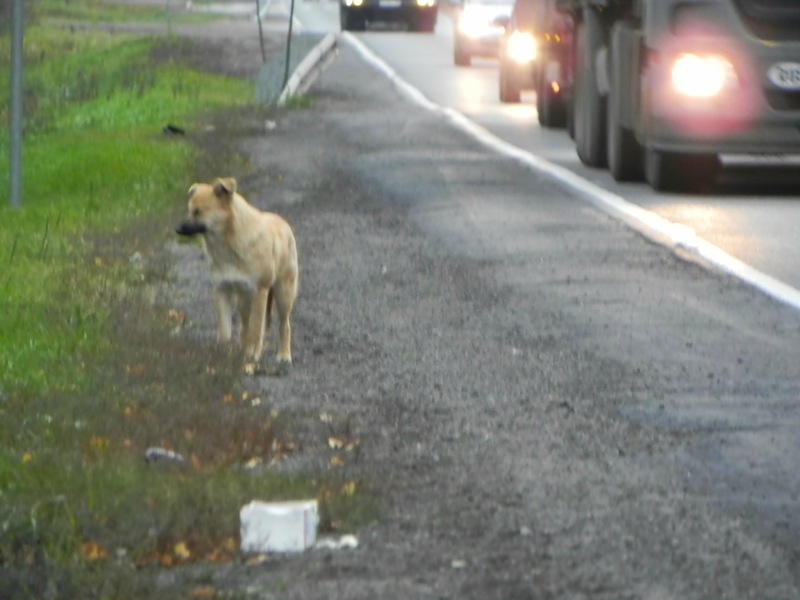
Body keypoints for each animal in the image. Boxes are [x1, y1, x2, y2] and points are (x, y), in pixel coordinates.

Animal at [177, 177, 298, 366]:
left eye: (197, 212)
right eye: (190, 211)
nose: (178, 229)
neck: (229, 244)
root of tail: (283, 222)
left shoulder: (259, 292)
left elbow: (256, 330)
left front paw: (252, 355)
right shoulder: (222, 290)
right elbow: (226, 331)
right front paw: (223, 353)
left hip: (283, 294)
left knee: (283, 325)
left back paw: (283, 355)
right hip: (243, 301)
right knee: (244, 327)